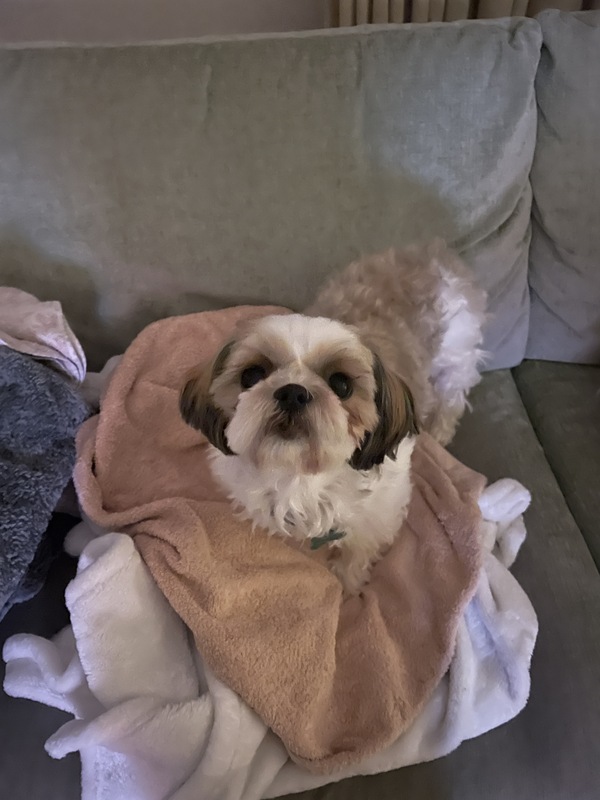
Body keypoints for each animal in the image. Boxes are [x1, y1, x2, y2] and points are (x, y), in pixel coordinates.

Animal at [180, 242, 486, 594]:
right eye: (252, 375)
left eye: (341, 384)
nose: (293, 392)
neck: (300, 477)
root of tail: (434, 254)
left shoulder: (381, 511)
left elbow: (358, 549)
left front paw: (347, 583)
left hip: (456, 357)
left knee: (452, 398)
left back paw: (439, 431)